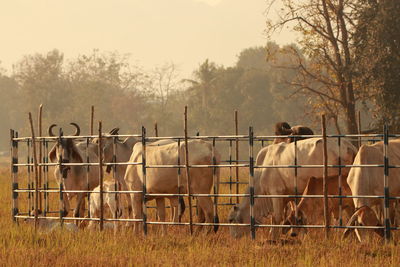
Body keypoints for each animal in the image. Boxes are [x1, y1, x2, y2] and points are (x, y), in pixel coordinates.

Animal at [228, 138, 356, 241]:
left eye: (230, 220)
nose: (233, 238)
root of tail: (349, 146)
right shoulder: (293, 195)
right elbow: (297, 212)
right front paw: (303, 235)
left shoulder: (276, 193)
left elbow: (277, 217)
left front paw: (274, 238)